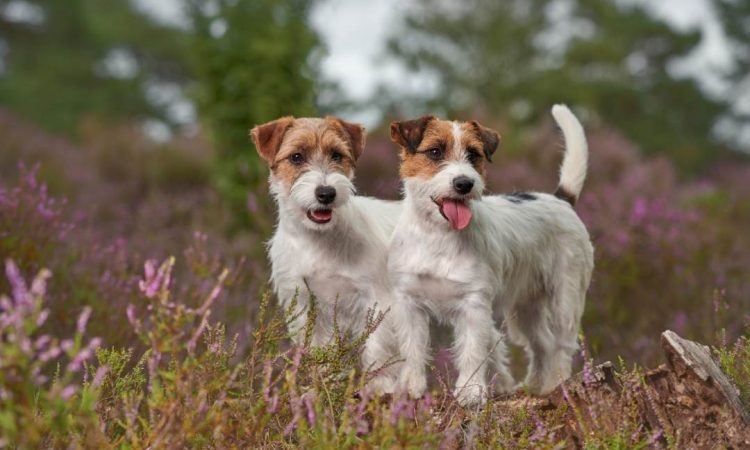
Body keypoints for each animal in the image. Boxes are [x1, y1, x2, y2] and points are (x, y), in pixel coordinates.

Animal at [253, 115, 402, 386]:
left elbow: (377, 353)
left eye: (336, 155)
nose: (326, 193)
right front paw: (323, 386)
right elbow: (319, 354)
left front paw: (379, 389)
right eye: (297, 157)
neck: (318, 241)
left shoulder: (377, 302)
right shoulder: (304, 306)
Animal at [388, 104, 592, 404]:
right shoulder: (409, 303)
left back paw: (558, 383)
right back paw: (534, 386)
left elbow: (473, 351)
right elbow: (413, 349)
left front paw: (471, 391)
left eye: (473, 154)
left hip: (564, 299)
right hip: (526, 307)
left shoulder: (473, 305)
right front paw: (410, 388)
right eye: (435, 151)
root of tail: (560, 199)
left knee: (561, 345)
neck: (437, 235)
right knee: (541, 344)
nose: (464, 183)